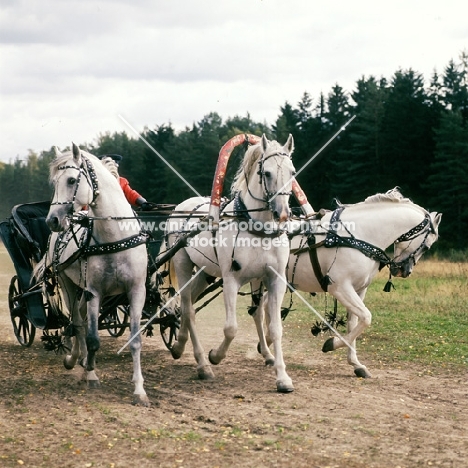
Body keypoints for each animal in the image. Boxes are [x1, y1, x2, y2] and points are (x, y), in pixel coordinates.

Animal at [42, 144, 149, 406]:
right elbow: (92, 338)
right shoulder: (94, 293)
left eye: (71, 180)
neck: (114, 237)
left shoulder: (136, 291)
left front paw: (139, 389)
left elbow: (135, 340)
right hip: (68, 285)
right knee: (77, 323)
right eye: (54, 182)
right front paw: (90, 373)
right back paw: (76, 360)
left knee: (78, 319)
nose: (52, 220)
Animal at [165, 133, 296, 394]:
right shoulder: (231, 279)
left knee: (187, 303)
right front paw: (215, 355)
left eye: (292, 172)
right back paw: (203, 364)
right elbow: (231, 328)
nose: (283, 214)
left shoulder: (275, 279)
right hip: (183, 264)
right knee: (188, 307)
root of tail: (180, 206)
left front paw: (282, 377)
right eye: (266, 173)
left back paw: (179, 345)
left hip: (204, 273)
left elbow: (275, 328)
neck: (258, 229)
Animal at [250, 188, 440, 378]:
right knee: (258, 311)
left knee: (267, 307)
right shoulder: (340, 288)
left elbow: (354, 323)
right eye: (427, 246)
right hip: (258, 279)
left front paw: (356, 364)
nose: (404, 271)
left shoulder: (359, 289)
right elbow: (366, 317)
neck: (361, 235)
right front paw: (331, 344)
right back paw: (267, 353)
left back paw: (267, 342)